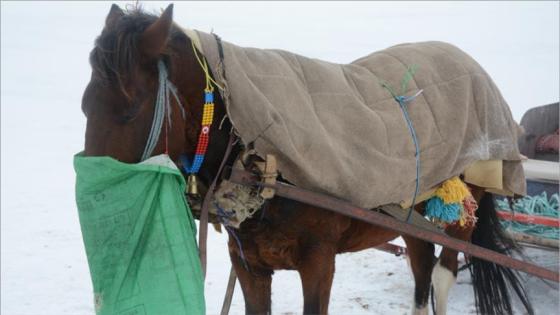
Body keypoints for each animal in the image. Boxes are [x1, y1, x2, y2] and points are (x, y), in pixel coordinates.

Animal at [82, 4, 532, 315]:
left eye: (128, 112)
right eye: (86, 106)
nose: (96, 200)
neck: (258, 159)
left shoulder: (319, 263)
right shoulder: (248, 264)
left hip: (462, 211)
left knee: (441, 274)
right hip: (413, 214)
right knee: (422, 269)